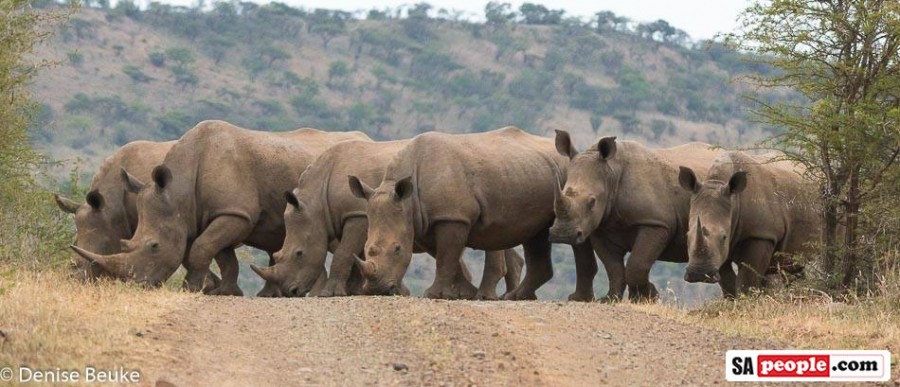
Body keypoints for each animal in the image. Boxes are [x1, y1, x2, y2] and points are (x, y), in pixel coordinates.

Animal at [66, 121, 370, 298]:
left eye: (154, 246)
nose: (139, 285)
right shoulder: (216, 213)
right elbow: (218, 253)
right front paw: (225, 291)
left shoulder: (234, 212)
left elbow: (201, 249)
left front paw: (194, 288)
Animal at [248, 140, 528, 300]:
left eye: (299, 254)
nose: (291, 292)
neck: (317, 199)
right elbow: (356, 254)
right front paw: (358, 290)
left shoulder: (357, 213)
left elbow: (345, 253)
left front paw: (331, 294)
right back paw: (494, 295)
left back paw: (487, 296)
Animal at [352, 129, 596, 302]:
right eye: (365, 248)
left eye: (397, 249)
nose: (376, 289)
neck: (407, 200)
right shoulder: (425, 221)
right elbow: (447, 256)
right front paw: (464, 293)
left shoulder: (451, 216)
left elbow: (446, 256)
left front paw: (433, 294)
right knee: (535, 235)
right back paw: (516, 296)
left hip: (569, 179)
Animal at [548, 132, 724, 302]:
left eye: (592, 202)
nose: (563, 235)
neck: (611, 173)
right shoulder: (601, 227)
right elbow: (613, 267)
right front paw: (610, 299)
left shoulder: (655, 223)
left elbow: (637, 264)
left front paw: (647, 297)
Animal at [680, 152, 812, 294]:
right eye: (687, 236)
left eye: (723, 237)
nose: (698, 275)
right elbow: (727, 280)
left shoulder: (761, 234)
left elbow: (747, 280)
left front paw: (746, 297)